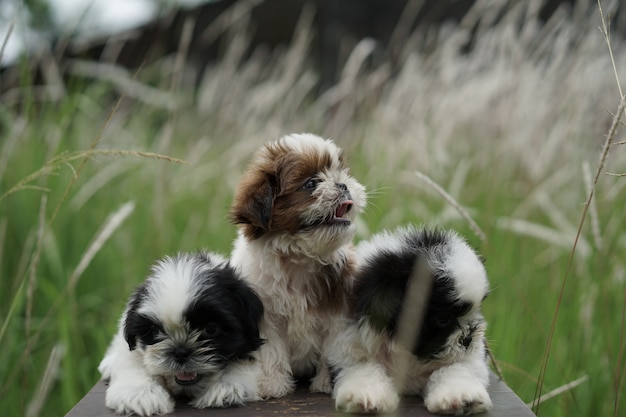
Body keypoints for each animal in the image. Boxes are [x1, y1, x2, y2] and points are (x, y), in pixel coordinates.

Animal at [98, 252, 264, 414]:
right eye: (155, 331)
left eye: (211, 329)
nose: (180, 352)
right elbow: (133, 362)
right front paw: (140, 394)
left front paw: (224, 387)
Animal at [229, 132, 366, 396]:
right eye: (311, 184)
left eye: (341, 172)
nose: (343, 184)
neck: (299, 257)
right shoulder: (266, 316)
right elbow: (272, 350)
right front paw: (273, 385)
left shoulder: (336, 315)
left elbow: (329, 350)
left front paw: (324, 383)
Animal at [330, 226, 490, 414]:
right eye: (443, 319)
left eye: (476, 310)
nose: (468, 338)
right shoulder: (350, 346)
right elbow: (362, 368)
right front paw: (364, 395)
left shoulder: (470, 358)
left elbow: (455, 368)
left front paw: (462, 396)